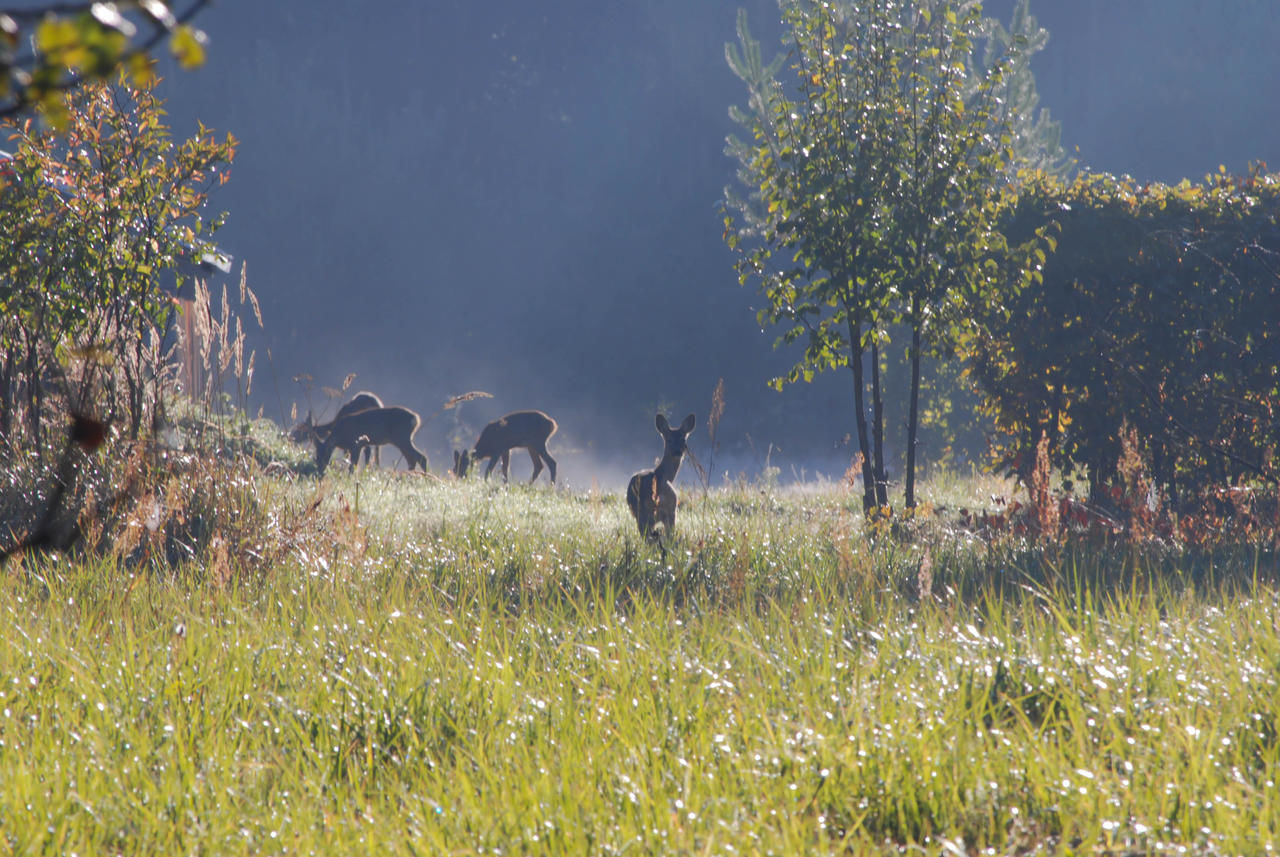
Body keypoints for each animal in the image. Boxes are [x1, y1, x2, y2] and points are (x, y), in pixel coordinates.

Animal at [624, 411, 696, 539]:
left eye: (683, 439)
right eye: (669, 440)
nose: (677, 452)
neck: (662, 474)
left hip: (642, 515)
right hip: (669, 509)